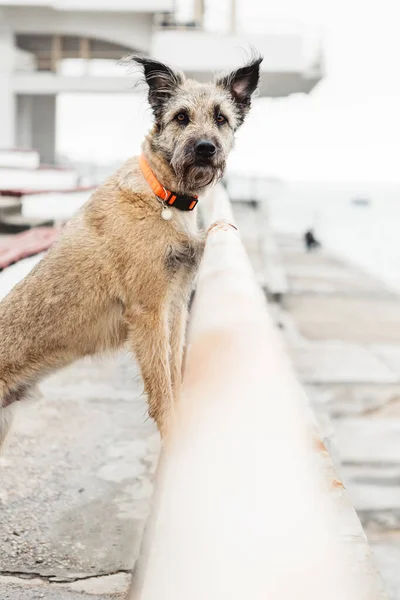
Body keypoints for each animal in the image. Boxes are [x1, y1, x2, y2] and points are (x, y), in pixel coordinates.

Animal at [0, 52, 262, 446]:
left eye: (221, 118)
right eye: (181, 117)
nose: (205, 148)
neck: (163, 195)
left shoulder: (174, 307)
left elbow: (174, 369)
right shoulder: (147, 312)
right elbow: (161, 386)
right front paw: (172, 430)